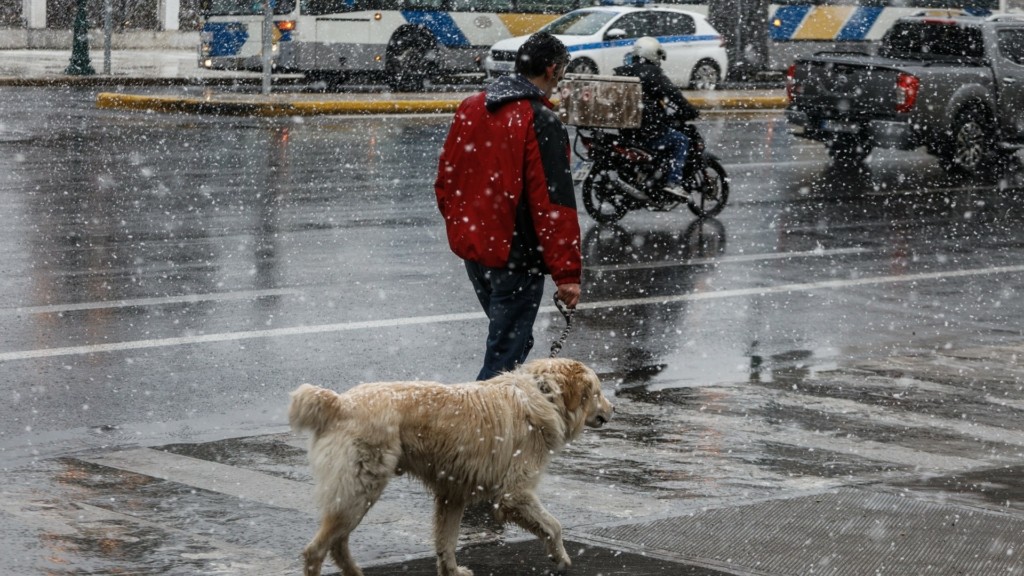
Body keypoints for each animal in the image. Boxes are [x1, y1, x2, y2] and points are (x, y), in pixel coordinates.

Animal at [288, 356, 610, 573]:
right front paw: (561, 557)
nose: (613, 410)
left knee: (337, 545)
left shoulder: (452, 495)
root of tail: (339, 403)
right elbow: (554, 525)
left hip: (356, 495)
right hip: (360, 490)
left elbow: (447, 543)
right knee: (316, 550)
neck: (545, 393)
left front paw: (452, 571)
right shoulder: (514, 493)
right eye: (597, 392)